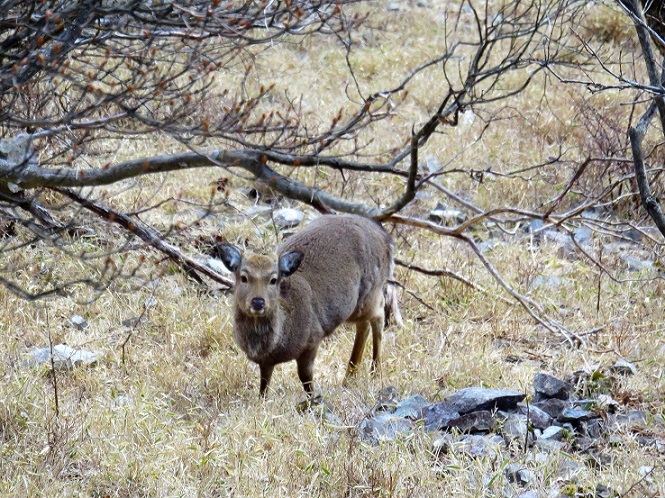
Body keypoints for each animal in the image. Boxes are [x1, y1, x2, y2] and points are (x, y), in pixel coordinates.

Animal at [218, 213, 396, 396]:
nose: (258, 302)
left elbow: (306, 378)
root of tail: (386, 238)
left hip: (371, 290)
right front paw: (262, 399)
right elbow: (264, 384)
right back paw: (349, 378)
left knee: (378, 315)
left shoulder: (313, 338)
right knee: (363, 325)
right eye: (244, 277)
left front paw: (313, 398)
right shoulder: (265, 361)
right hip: (356, 305)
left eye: (274, 279)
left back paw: (375, 373)